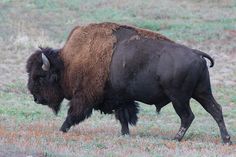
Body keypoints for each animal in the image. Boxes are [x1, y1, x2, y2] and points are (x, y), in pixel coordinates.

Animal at [26, 21, 231, 144]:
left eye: (40, 76)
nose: (35, 98)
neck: (68, 62)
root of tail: (196, 53)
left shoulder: (84, 97)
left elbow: (73, 114)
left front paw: (61, 129)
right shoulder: (121, 98)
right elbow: (124, 117)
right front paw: (125, 134)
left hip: (179, 98)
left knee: (188, 116)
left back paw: (175, 138)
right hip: (202, 92)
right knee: (215, 110)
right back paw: (226, 139)